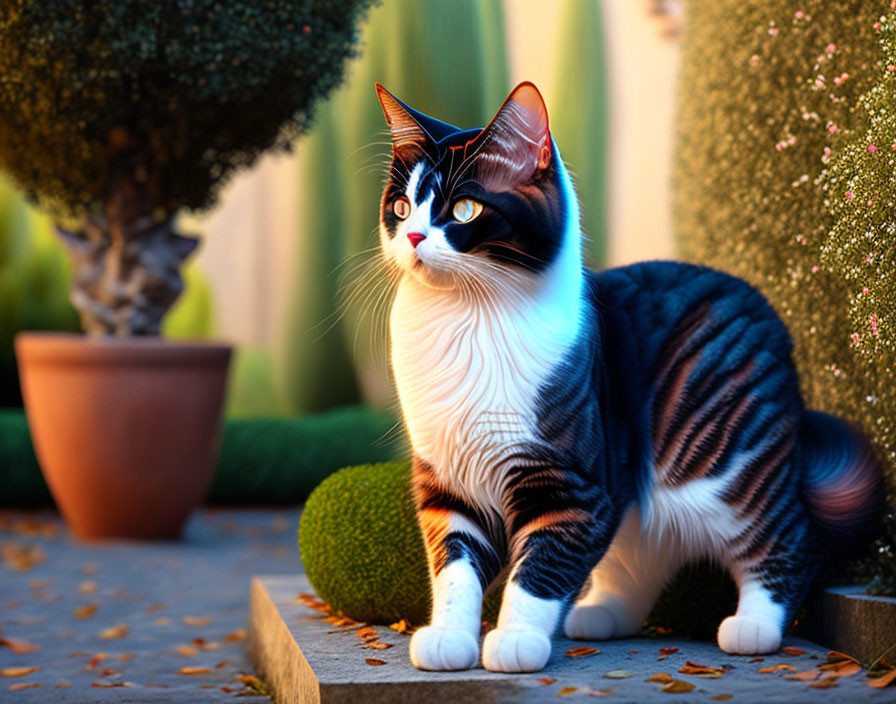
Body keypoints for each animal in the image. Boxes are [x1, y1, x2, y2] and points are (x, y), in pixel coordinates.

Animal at [374, 82, 884, 676]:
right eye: (401, 206)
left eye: (464, 208)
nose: (412, 236)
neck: (464, 320)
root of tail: (767, 315)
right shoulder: (448, 479)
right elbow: (454, 566)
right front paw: (450, 639)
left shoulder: (572, 482)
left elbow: (540, 568)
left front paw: (517, 640)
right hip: (642, 492)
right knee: (646, 549)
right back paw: (604, 613)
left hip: (722, 466)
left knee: (787, 534)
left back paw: (755, 625)